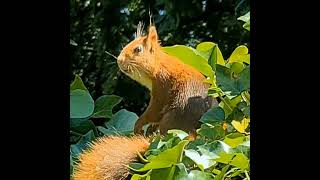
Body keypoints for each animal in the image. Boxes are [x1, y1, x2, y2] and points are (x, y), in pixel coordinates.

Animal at [72, 24, 218, 180]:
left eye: (138, 49)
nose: (119, 61)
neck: (159, 64)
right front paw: (149, 126)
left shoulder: (161, 87)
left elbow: (154, 111)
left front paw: (139, 124)